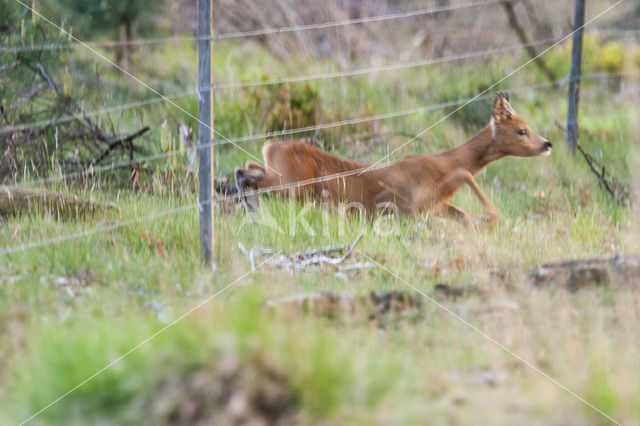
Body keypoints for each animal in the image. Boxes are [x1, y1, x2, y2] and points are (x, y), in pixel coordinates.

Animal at [235, 92, 552, 226]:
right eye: (521, 130)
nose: (547, 144)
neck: (439, 164)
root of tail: (271, 145)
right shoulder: (411, 200)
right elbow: (465, 173)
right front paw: (494, 213)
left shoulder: (432, 207)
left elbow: (462, 215)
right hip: (289, 184)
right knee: (246, 175)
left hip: (281, 178)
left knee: (247, 169)